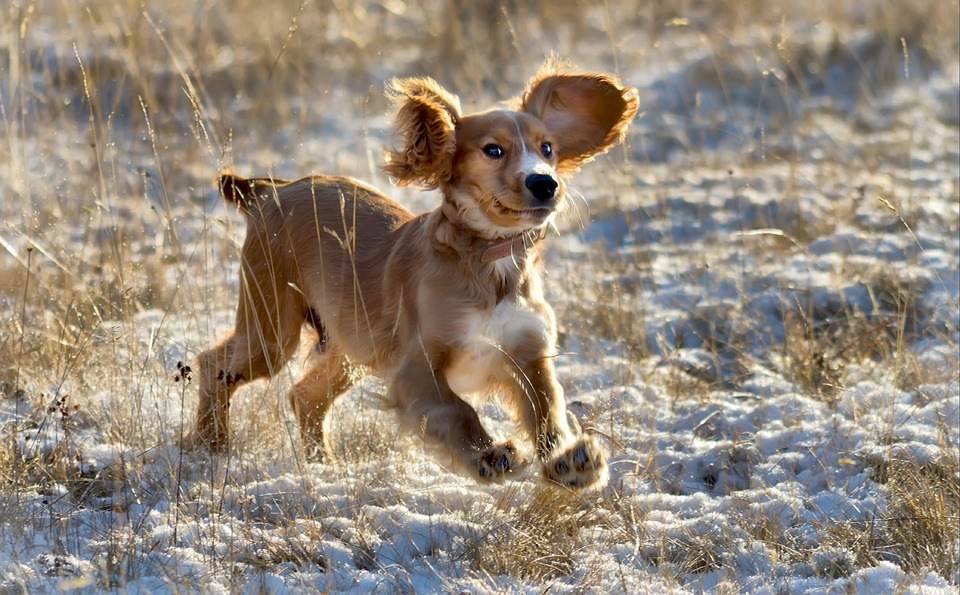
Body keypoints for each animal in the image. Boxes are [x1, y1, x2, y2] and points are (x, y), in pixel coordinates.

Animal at [187, 60, 636, 492]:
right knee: (214, 365)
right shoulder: (416, 366)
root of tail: (270, 190)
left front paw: (569, 462)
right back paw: (211, 447)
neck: (487, 261)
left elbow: (549, 412)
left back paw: (322, 465)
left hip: (351, 348)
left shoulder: (529, 355)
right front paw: (490, 456)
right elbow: (457, 411)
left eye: (548, 148)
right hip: (273, 329)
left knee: (305, 396)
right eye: (493, 150)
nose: (545, 183)